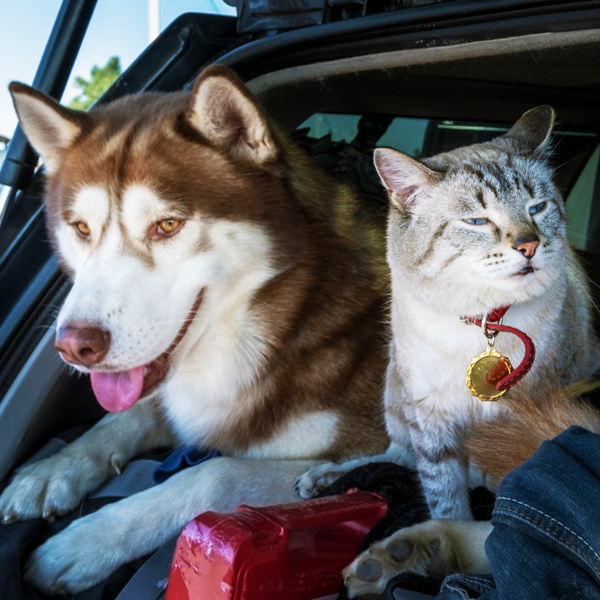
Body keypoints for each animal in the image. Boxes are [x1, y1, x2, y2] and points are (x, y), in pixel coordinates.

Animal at [0, 67, 390, 596]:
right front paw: (51, 472)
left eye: (167, 225)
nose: (76, 346)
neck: (289, 317)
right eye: (81, 228)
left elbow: (215, 474)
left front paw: (83, 542)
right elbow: (126, 415)